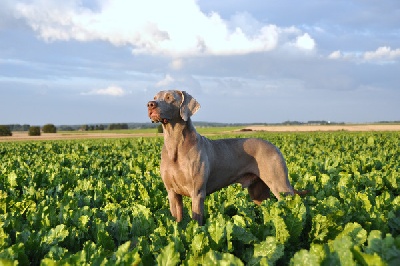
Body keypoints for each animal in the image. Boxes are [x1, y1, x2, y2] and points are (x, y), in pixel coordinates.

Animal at [147, 90, 306, 224]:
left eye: (169, 97)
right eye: (155, 97)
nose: (150, 104)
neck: (175, 144)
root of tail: (275, 146)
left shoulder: (197, 193)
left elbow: (197, 220)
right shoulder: (172, 193)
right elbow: (177, 219)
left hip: (280, 185)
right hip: (258, 191)